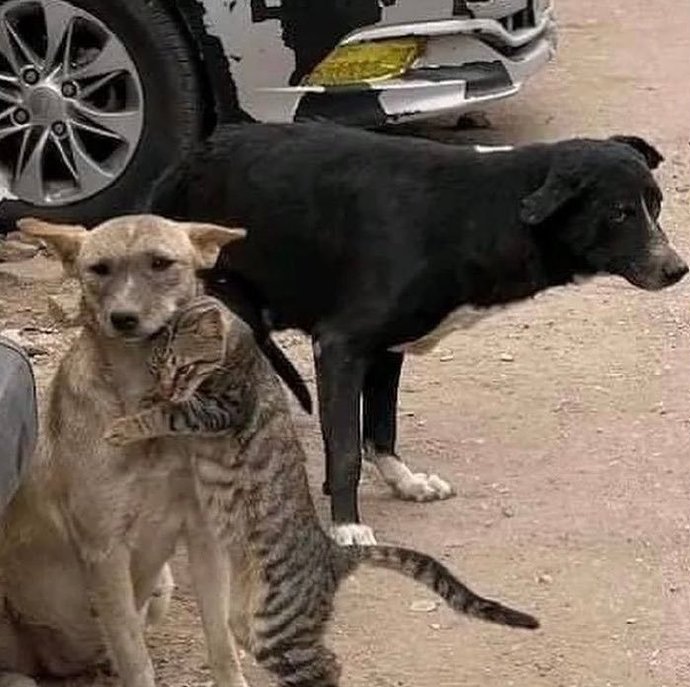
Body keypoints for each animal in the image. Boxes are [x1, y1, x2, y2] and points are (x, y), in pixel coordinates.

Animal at [0, 215, 249, 687]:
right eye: (98, 269)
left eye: (161, 263)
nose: (124, 318)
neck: (145, 414)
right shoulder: (105, 550)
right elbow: (137, 659)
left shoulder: (203, 535)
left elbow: (222, 644)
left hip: (163, 586)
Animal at [105, 295, 539, 687]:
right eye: (158, 365)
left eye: (184, 365)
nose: (165, 384)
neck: (241, 355)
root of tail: (333, 554)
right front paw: (145, 399)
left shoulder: (221, 407)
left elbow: (171, 414)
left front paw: (126, 425)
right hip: (248, 620)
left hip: (277, 625)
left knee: (327, 666)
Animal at [149, 123, 688, 545]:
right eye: (619, 212)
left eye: (657, 205)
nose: (677, 269)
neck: (480, 211)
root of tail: (184, 162)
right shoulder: (341, 345)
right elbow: (346, 448)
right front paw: (346, 524)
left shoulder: (387, 350)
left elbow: (380, 430)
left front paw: (403, 482)